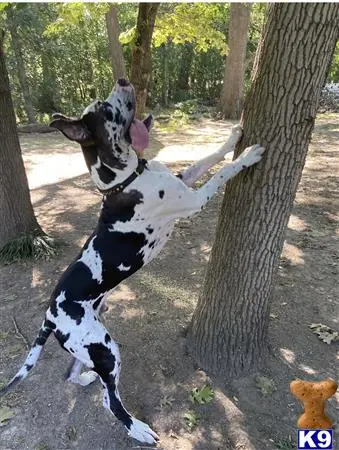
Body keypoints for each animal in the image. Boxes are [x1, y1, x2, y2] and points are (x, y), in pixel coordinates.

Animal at [0, 78, 266, 442]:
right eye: (105, 109)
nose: (123, 80)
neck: (125, 181)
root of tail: (50, 316)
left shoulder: (183, 179)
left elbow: (209, 157)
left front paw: (233, 136)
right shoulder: (194, 199)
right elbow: (220, 173)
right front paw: (249, 156)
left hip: (92, 347)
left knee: (76, 375)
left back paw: (87, 379)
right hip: (106, 349)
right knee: (110, 401)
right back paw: (137, 429)